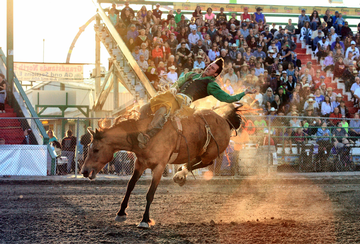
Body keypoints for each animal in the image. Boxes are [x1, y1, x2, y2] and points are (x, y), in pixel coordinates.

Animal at [81, 104, 242, 229]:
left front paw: (145, 220)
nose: (84, 171)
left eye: (96, 150)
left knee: (206, 162)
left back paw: (180, 174)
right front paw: (121, 213)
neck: (146, 135)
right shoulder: (140, 164)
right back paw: (180, 174)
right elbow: (130, 186)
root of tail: (225, 120)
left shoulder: (159, 167)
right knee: (196, 161)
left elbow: (150, 194)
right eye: (89, 147)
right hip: (200, 151)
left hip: (211, 152)